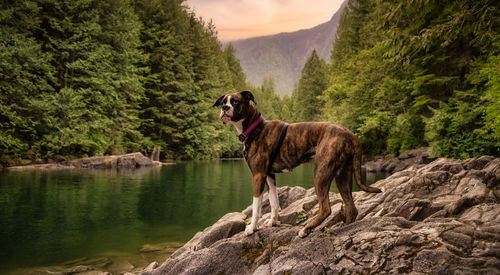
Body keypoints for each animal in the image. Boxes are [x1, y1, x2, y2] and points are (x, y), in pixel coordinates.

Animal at [213, 90, 380, 237]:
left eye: (235, 101)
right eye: (223, 102)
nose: (225, 108)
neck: (256, 128)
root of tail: (351, 134)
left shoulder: (258, 176)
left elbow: (256, 206)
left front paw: (252, 228)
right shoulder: (269, 176)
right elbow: (274, 202)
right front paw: (273, 222)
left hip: (321, 173)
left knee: (326, 208)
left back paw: (306, 229)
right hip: (342, 175)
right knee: (351, 207)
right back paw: (344, 228)